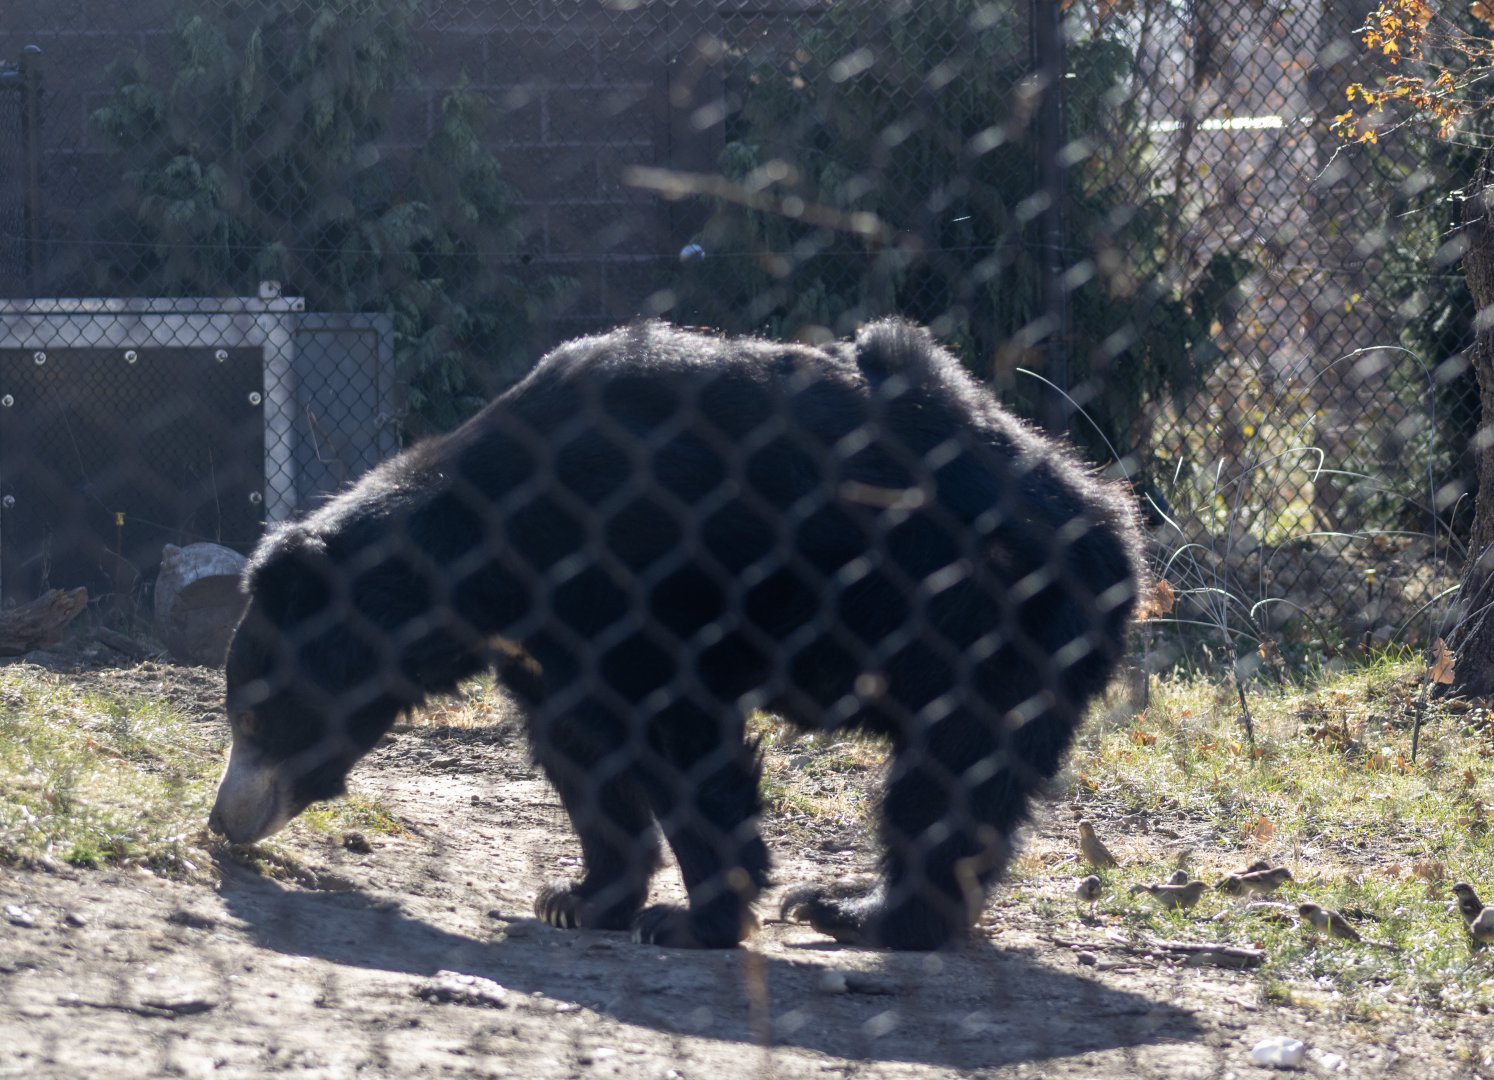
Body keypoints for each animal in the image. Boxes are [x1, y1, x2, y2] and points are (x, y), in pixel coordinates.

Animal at [208, 319, 1144, 950]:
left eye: (253, 718)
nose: (223, 822)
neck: (497, 554)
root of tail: (1112, 525)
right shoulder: (548, 643)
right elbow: (582, 749)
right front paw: (580, 897)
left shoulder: (654, 588)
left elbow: (685, 748)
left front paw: (691, 921)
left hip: (986, 628)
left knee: (943, 783)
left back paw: (861, 913)